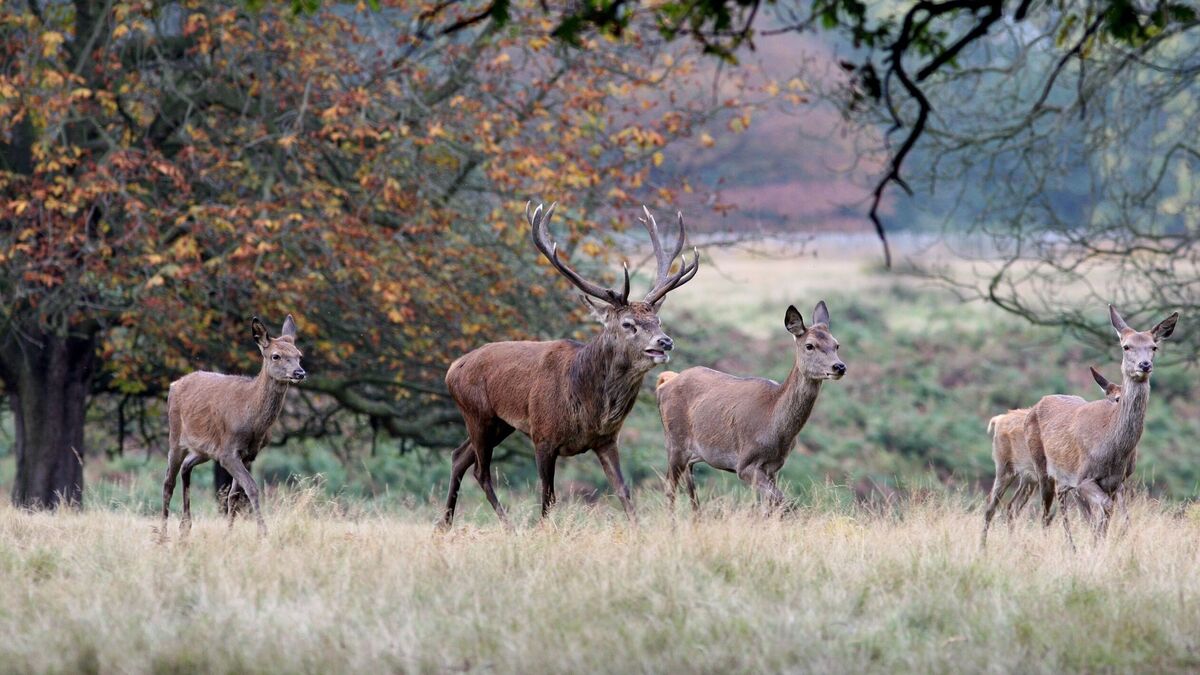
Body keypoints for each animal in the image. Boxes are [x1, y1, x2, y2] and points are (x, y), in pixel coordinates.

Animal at [160, 315, 306, 539]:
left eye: (299, 355)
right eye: (276, 356)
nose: (300, 372)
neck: (252, 419)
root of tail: (173, 385)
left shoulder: (248, 454)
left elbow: (234, 495)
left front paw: (228, 534)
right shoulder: (228, 451)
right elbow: (252, 488)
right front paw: (263, 532)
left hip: (204, 449)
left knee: (185, 467)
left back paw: (185, 527)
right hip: (176, 436)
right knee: (168, 481)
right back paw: (162, 534)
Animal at [440, 202, 699, 529]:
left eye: (658, 320)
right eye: (628, 324)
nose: (665, 342)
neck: (587, 406)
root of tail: (452, 369)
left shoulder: (606, 440)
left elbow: (624, 492)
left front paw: (638, 530)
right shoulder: (543, 437)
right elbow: (548, 498)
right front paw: (543, 531)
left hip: (500, 423)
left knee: (459, 456)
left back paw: (444, 525)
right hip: (477, 412)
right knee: (480, 470)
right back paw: (508, 526)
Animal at [655, 301, 846, 512]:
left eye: (836, 344)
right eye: (809, 345)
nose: (839, 367)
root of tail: (664, 382)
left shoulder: (774, 466)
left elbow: (771, 506)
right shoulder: (745, 463)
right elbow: (782, 501)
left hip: (691, 453)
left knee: (691, 490)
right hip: (674, 442)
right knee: (670, 488)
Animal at [980, 366, 1121, 545]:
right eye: (1114, 397)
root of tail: (997, 420)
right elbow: (1087, 516)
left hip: (1029, 478)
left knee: (1012, 507)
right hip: (1004, 467)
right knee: (991, 505)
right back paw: (983, 546)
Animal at [1024, 305, 1177, 546]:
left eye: (1154, 346)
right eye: (1126, 346)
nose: (1145, 365)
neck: (1111, 448)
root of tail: (1036, 405)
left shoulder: (1114, 482)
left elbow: (1107, 515)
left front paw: (1100, 545)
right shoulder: (1083, 477)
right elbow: (1104, 509)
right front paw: (1096, 545)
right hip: (1042, 466)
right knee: (1047, 511)